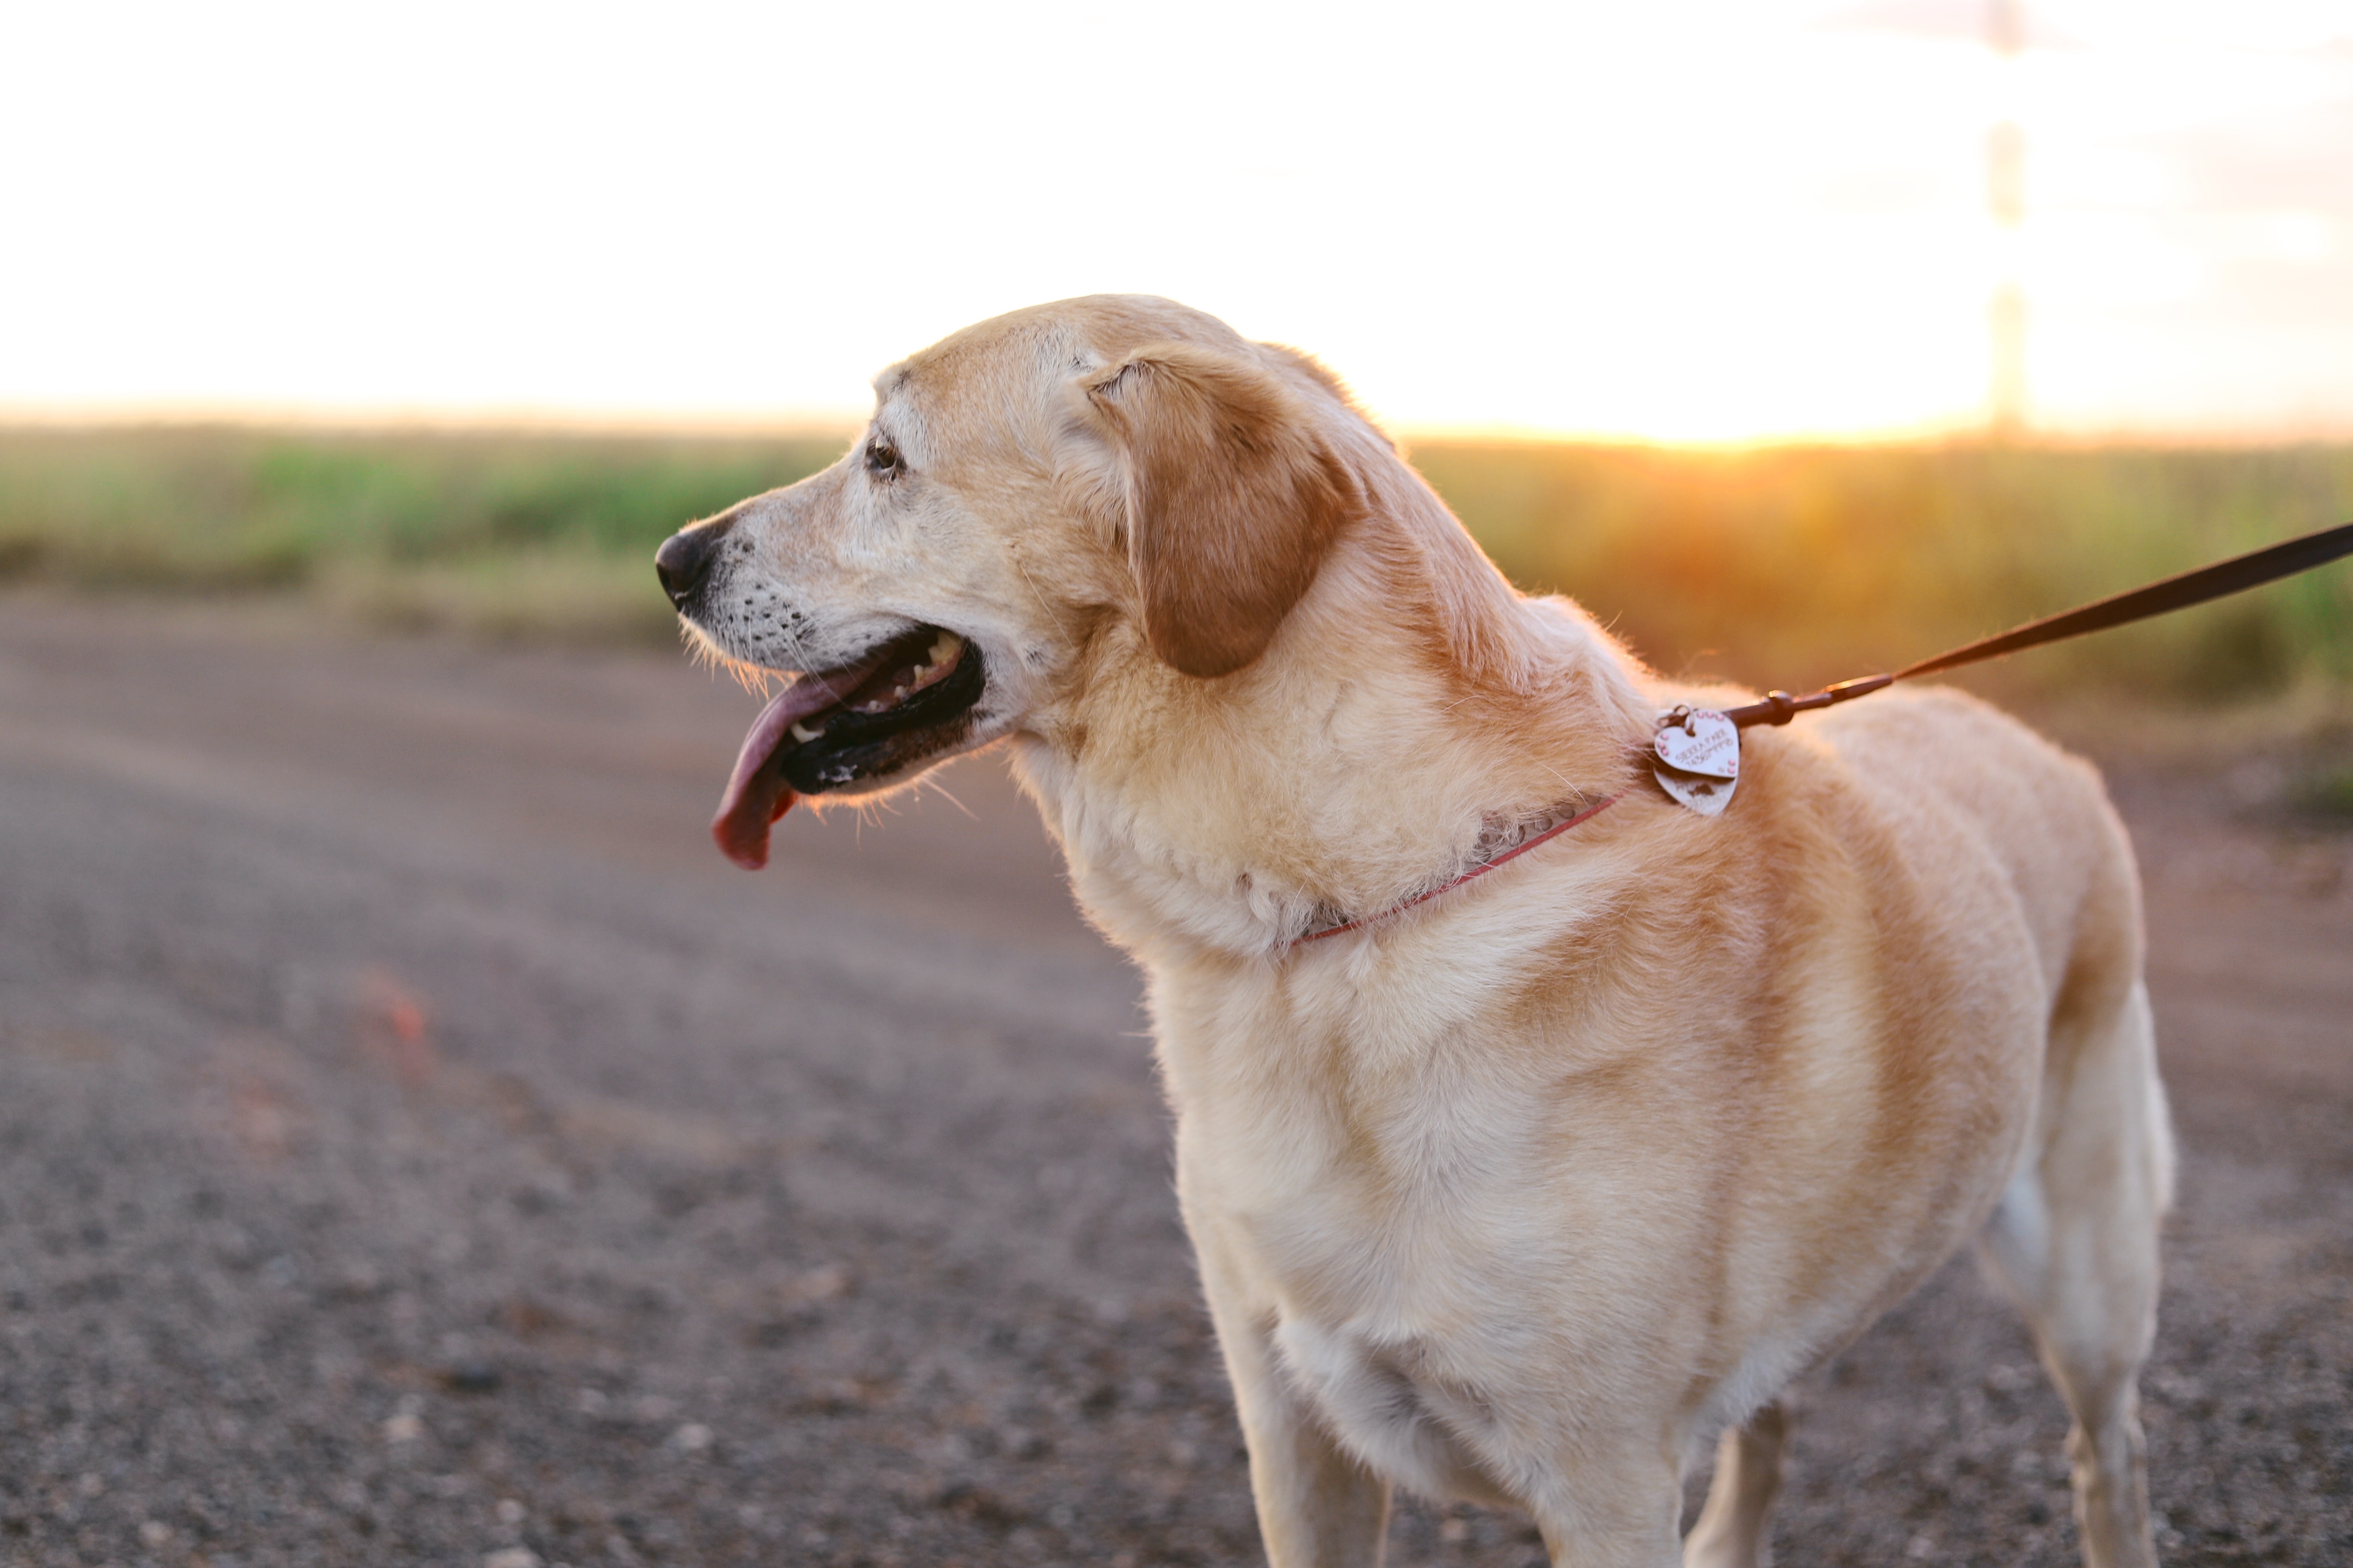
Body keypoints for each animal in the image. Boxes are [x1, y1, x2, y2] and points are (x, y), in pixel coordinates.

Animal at [654, 296, 2174, 1563]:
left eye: (885, 460)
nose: (672, 559)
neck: (1331, 919)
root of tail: (2036, 742)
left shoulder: (1601, 1480)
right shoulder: (1296, 1435)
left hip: (2090, 1286)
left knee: (2106, 1461)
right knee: (1776, 1427)